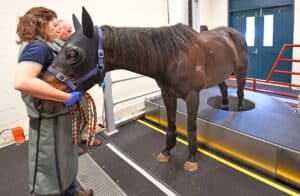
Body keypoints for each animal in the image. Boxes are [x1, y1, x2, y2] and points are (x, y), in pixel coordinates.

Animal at [42, 6, 248, 171]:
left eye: (72, 54)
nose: (43, 102)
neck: (172, 56)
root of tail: (234, 33)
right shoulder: (168, 95)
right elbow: (171, 124)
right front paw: (167, 151)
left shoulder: (192, 97)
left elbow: (191, 127)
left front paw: (191, 158)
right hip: (220, 75)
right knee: (224, 90)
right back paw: (223, 106)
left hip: (240, 72)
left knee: (239, 91)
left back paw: (238, 109)